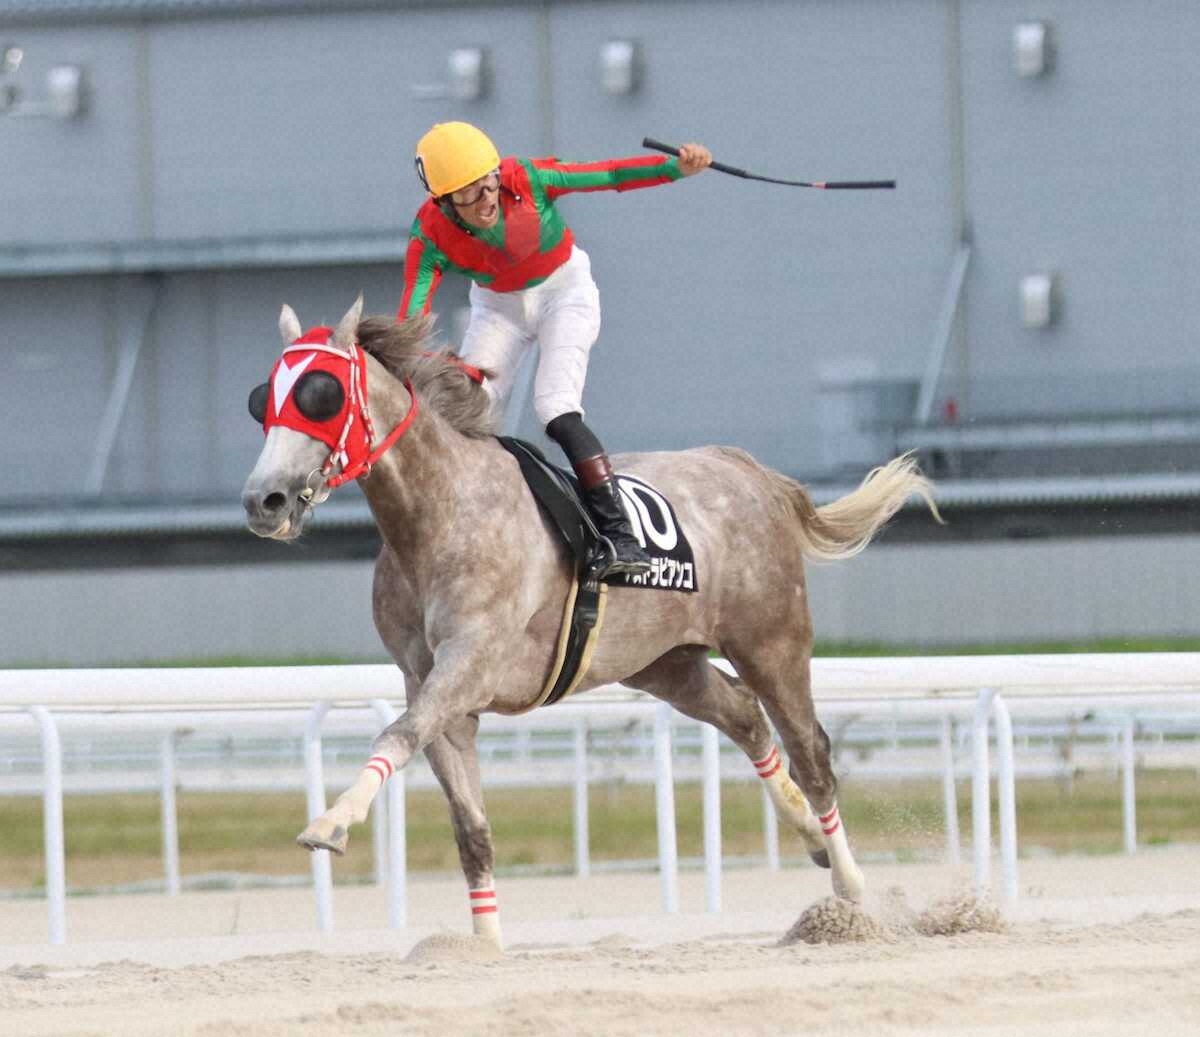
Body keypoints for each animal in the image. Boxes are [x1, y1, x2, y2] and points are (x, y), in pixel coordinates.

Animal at [241, 295, 939, 945]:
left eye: (321, 395)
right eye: (262, 399)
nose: (262, 500)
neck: (439, 512)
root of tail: (743, 468)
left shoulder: (470, 664)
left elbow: (395, 734)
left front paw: (330, 823)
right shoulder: (431, 685)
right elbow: (470, 827)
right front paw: (483, 946)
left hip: (771, 638)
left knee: (811, 749)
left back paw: (849, 884)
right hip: (663, 663)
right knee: (744, 716)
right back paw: (809, 835)